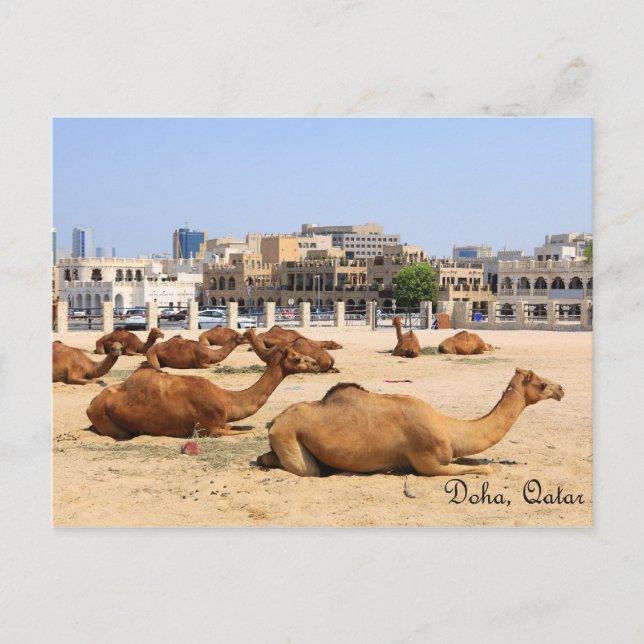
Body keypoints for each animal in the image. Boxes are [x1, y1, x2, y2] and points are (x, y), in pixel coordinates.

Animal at [86, 343, 321, 440]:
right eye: (297, 358)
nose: (316, 363)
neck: (226, 399)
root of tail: (91, 404)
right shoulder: (210, 429)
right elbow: (247, 432)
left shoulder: (223, 422)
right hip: (109, 423)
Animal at [257, 368, 564, 477]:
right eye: (542, 383)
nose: (561, 389)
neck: (450, 428)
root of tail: (274, 421)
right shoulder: (428, 463)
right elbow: (482, 470)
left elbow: (477, 462)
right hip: (289, 437)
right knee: (306, 470)